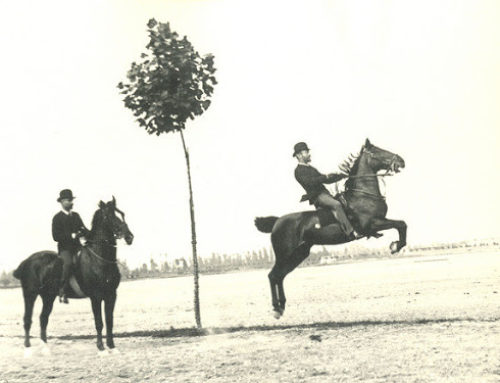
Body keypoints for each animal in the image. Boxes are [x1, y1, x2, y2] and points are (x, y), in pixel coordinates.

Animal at [13, 198, 134, 356]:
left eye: (122, 215)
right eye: (110, 216)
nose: (129, 237)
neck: (99, 259)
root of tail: (27, 261)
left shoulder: (111, 295)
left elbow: (109, 321)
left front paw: (112, 347)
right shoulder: (96, 297)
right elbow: (99, 322)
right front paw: (101, 348)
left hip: (48, 296)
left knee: (43, 318)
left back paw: (45, 347)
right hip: (30, 295)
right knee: (27, 319)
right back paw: (28, 349)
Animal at [254, 140, 406, 320]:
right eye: (377, 151)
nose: (401, 161)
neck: (362, 195)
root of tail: (277, 222)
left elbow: (401, 224)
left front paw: (396, 245)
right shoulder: (372, 224)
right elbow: (401, 224)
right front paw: (395, 246)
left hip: (299, 253)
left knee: (280, 276)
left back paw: (281, 306)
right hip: (284, 254)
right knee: (273, 275)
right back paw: (276, 308)